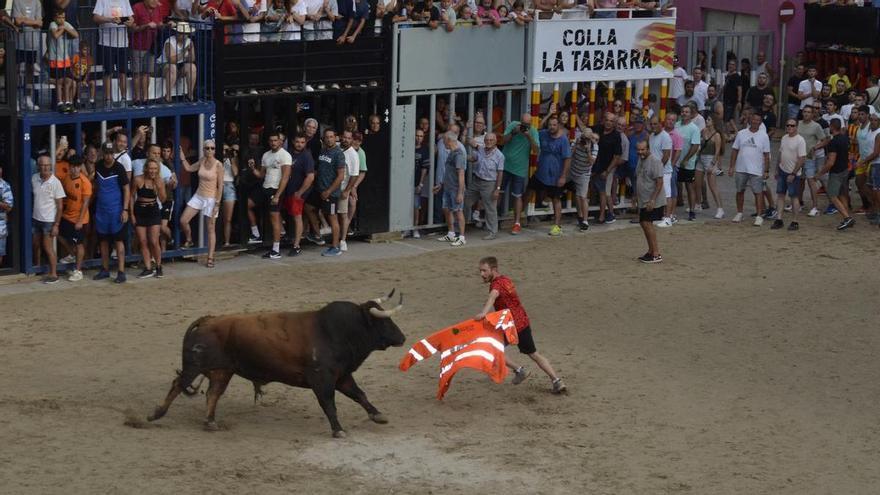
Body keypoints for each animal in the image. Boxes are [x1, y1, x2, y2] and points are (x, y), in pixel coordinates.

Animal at [147, 290, 406, 438]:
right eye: (383, 322)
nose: (402, 338)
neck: (335, 331)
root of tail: (208, 319)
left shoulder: (341, 376)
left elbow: (359, 395)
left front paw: (378, 415)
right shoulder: (322, 379)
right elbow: (329, 404)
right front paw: (338, 430)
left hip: (222, 371)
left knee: (213, 394)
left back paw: (210, 423)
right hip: (195, 366)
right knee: (177, 385)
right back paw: (155, 414)